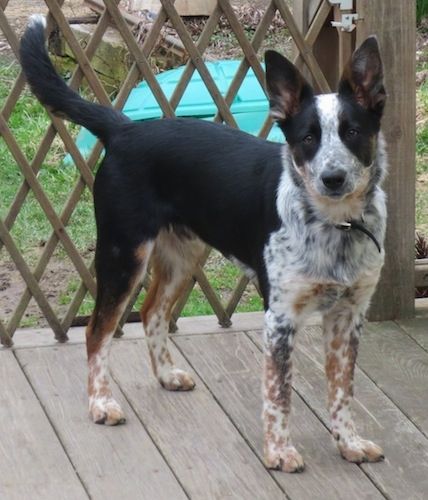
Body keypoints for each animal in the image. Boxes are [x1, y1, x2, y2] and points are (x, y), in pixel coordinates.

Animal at [20, 13, 388, 470]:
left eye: (353, 132)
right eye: (307, 139)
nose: (332, 178)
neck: (336, 227)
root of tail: (124, 130)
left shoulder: (348, 315)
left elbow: (341, 391)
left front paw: (348, 443)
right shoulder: (280, 317)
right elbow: (278, 395)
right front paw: (279, 451)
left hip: (182, 255)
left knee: (152, 311)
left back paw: (165, 375)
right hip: (124, 255)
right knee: (97, 330)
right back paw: (101, 404)